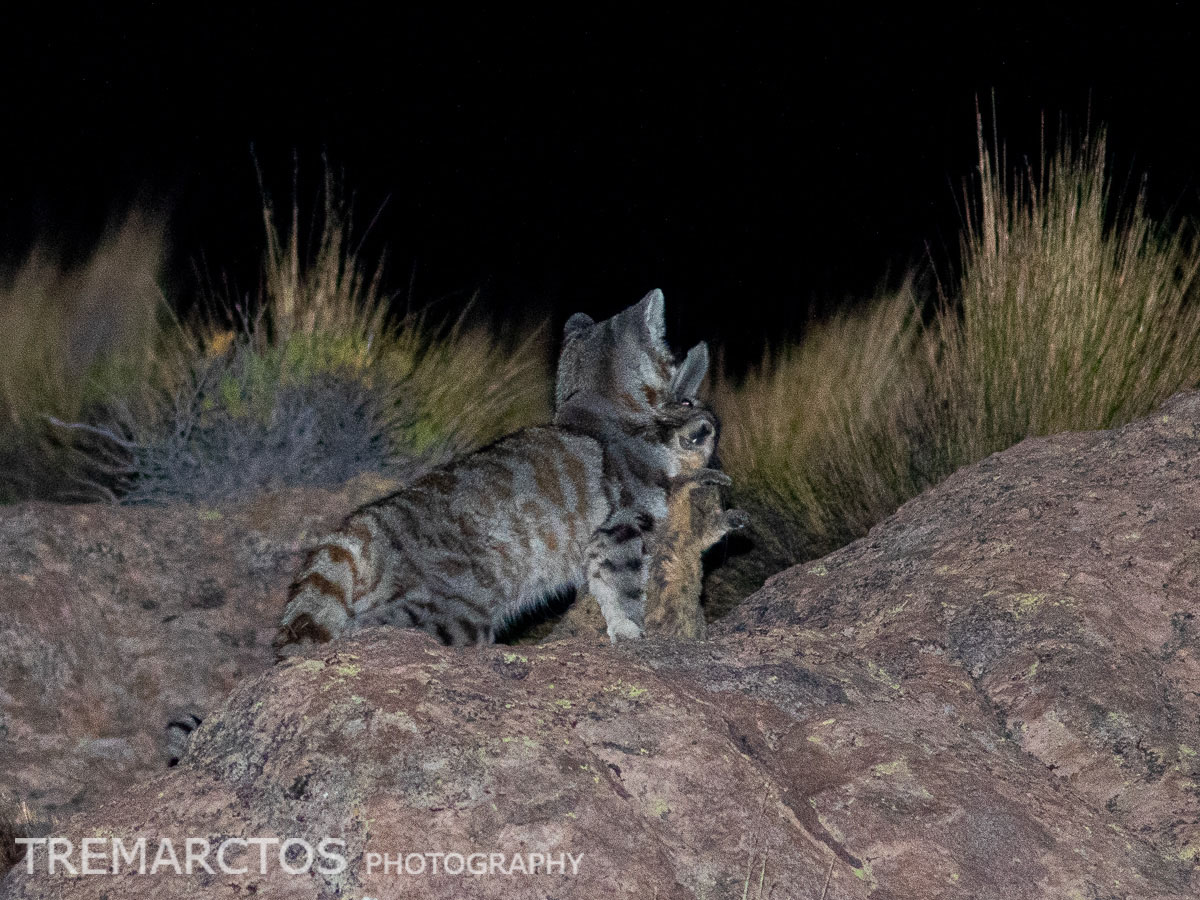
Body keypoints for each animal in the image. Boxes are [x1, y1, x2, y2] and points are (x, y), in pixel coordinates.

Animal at [273, 292, 715, 652]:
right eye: (672, 359)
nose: (690, 397)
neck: (597, 406)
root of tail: (366, 521)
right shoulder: (620, 526)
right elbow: (622, 588)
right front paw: (630, 630)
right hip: (456, 610)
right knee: (372, 631)